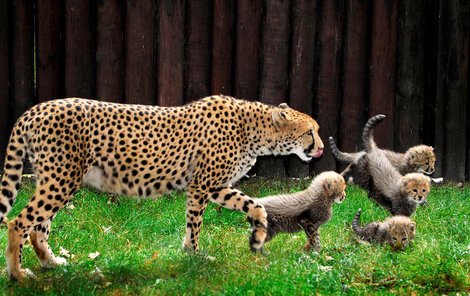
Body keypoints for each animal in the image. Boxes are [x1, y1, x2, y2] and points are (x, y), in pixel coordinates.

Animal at [0, 96, 324, 278]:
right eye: (310, 132)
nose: (321, 149)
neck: (256, 130)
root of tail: (35, 108)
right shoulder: (201, 186)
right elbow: (195, 223)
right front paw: (193, 255)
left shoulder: (216, 186)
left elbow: (255, 205)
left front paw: (257, 237)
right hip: (61, 179)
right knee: (18, 222)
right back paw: (18, 273)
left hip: (56, 179)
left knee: (38, 228)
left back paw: (51, 263)